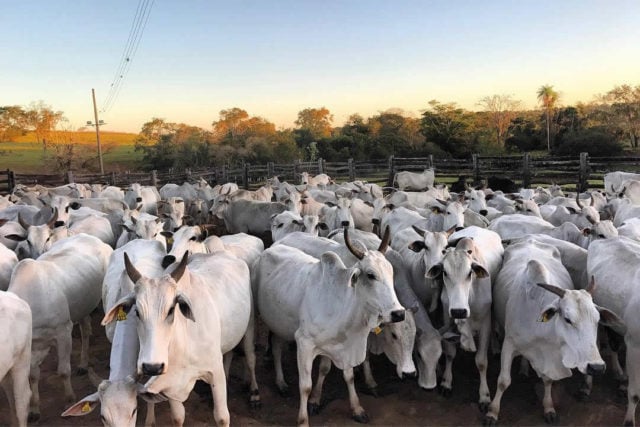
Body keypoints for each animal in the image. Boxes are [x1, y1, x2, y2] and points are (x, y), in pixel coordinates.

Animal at [256, 229, 402, 426]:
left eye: (391, 272)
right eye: (371, 275)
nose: (398, 313)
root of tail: (272, 247)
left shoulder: (339, 344)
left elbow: (342, 374)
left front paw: (355, 408)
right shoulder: (304, 343)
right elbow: (305, 386)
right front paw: (303, 420)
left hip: (280, 323)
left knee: (278, 345)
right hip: (270, 322)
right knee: (276, 349)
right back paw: (280, 382)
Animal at [484, 239, 620, 426]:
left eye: (597, 320)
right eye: (567, 319)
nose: (597, 367)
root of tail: (531, 239)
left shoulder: (552, 353)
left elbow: (547, 380)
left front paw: (548, 408)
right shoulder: (509, 344)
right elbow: (503, 381)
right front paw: (492, 412)